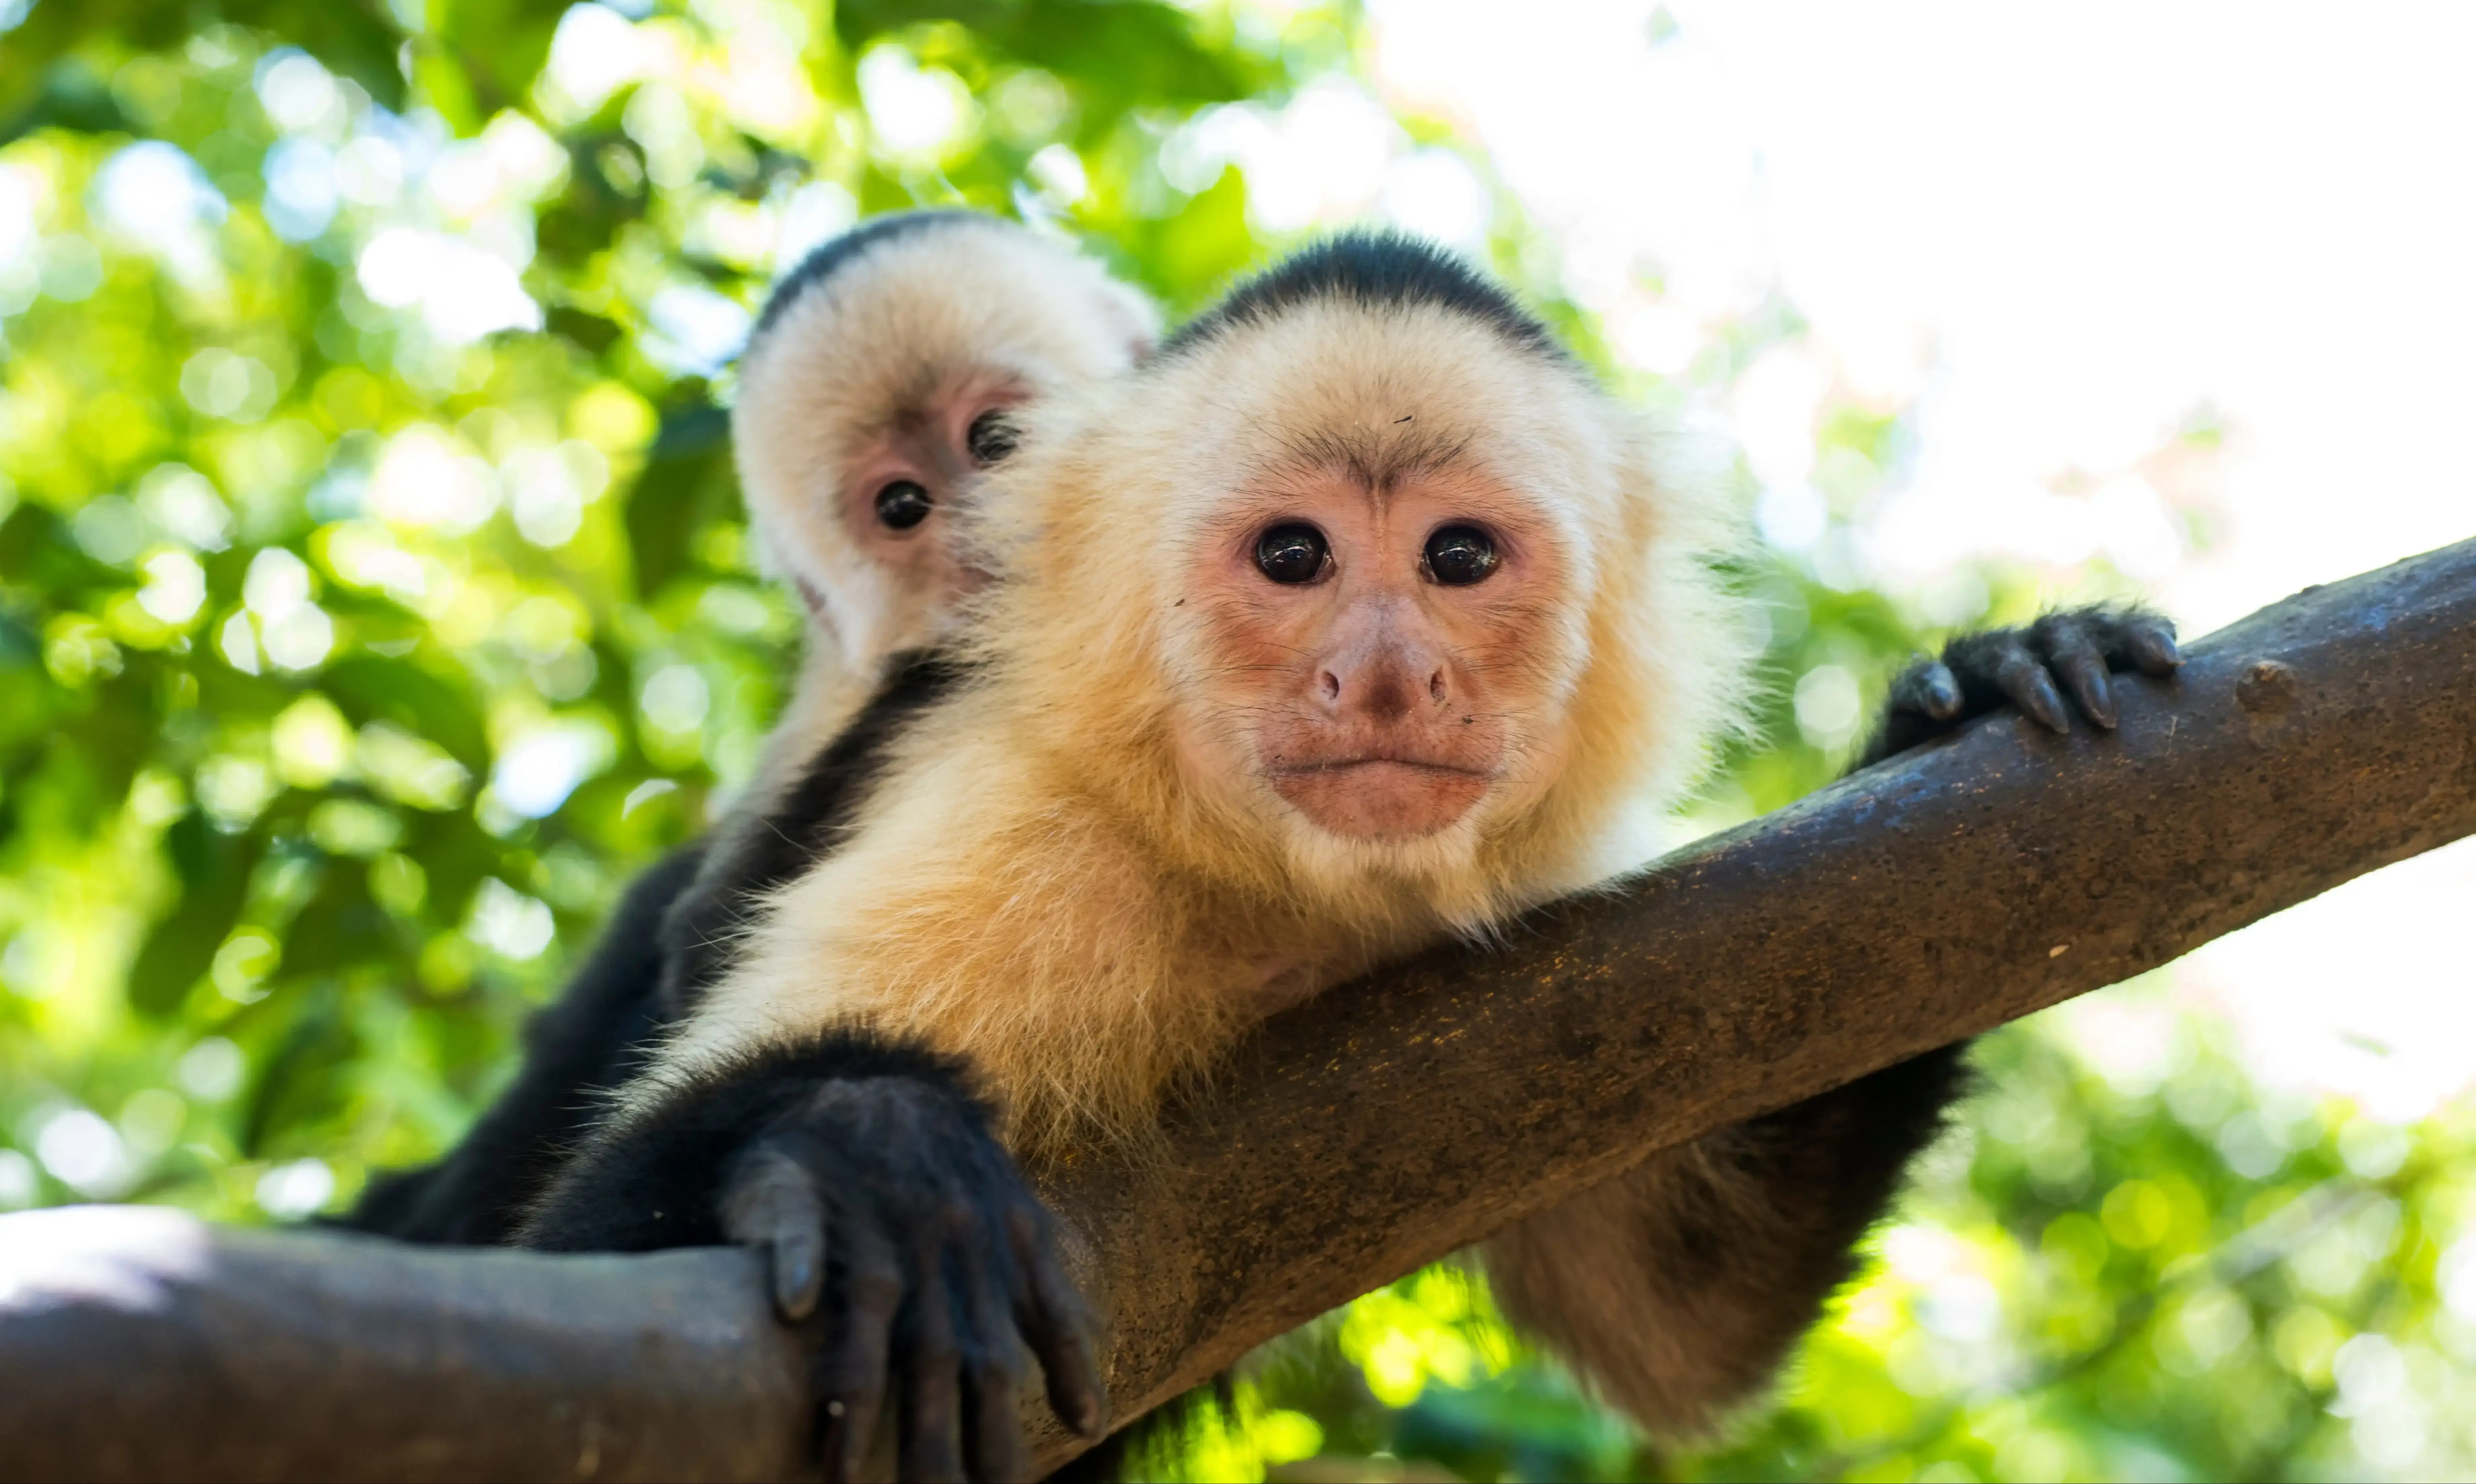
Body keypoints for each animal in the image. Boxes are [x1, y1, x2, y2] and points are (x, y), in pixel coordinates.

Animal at [515, 232, 2183, 1482]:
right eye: (1292, 556)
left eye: (1456, 557)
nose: (1382, 679)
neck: (1292, 894)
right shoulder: (1018, 813)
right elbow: (571, 1260)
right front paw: (858, 1147)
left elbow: (1681, 1322)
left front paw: (1967, 690)